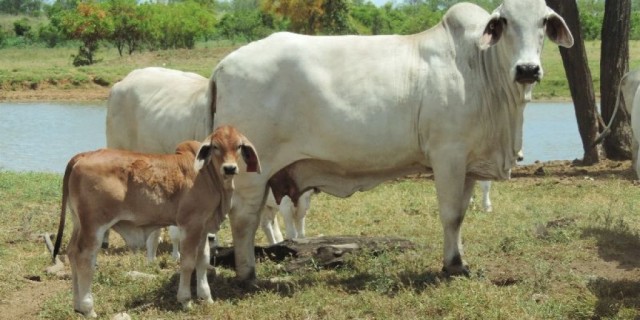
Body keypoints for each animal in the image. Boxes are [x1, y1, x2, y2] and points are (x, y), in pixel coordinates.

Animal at [50, 125, 260, 318]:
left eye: (239, 146)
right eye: (216, 146)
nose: (230, 168)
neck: (207, 175)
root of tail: (84, 155)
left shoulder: (204, 226)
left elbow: (203, 261)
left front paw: (206, 297)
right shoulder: (190, 225)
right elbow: (188, 262)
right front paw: (185, 300)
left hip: (79, 222)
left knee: (71, 252)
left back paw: (77, 305)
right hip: (94, 225)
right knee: (85, 257)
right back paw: (88, 308)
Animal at [208, 0, 572, 282]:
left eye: (543, 21)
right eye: (505, 21)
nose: (527, 69)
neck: (480, 68)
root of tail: (223, 65)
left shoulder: (468, 163)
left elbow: (461, 215)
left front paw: (459, 262)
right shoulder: (448, 155)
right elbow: (451, 214)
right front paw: (451, 265)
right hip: (252, 170)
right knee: (244, 218)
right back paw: (248, 276)